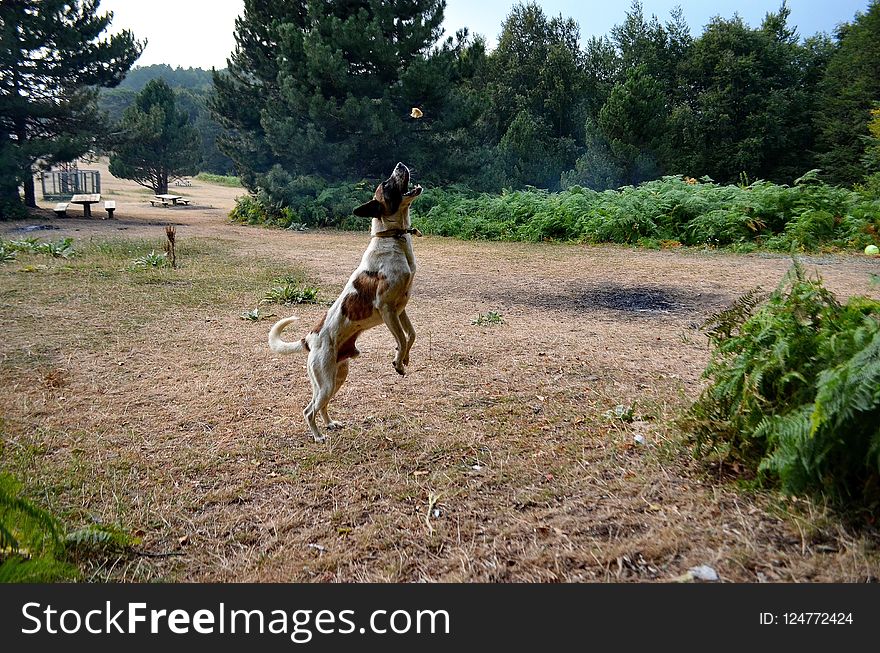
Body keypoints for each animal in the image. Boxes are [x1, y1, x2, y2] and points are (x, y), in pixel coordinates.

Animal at [266, 160, 422, 440]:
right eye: (387, 184)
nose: (400, 164)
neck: (393, 238)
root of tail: (309, 339)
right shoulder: (386, 309)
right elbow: (403, 338)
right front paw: (397, 362)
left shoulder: (401, 308)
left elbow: (411, 336)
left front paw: (403, 359)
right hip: (326, 380)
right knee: (309, 409)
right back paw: (318, 435)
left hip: (338, 376)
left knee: (321, 405)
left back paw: (330, 424)